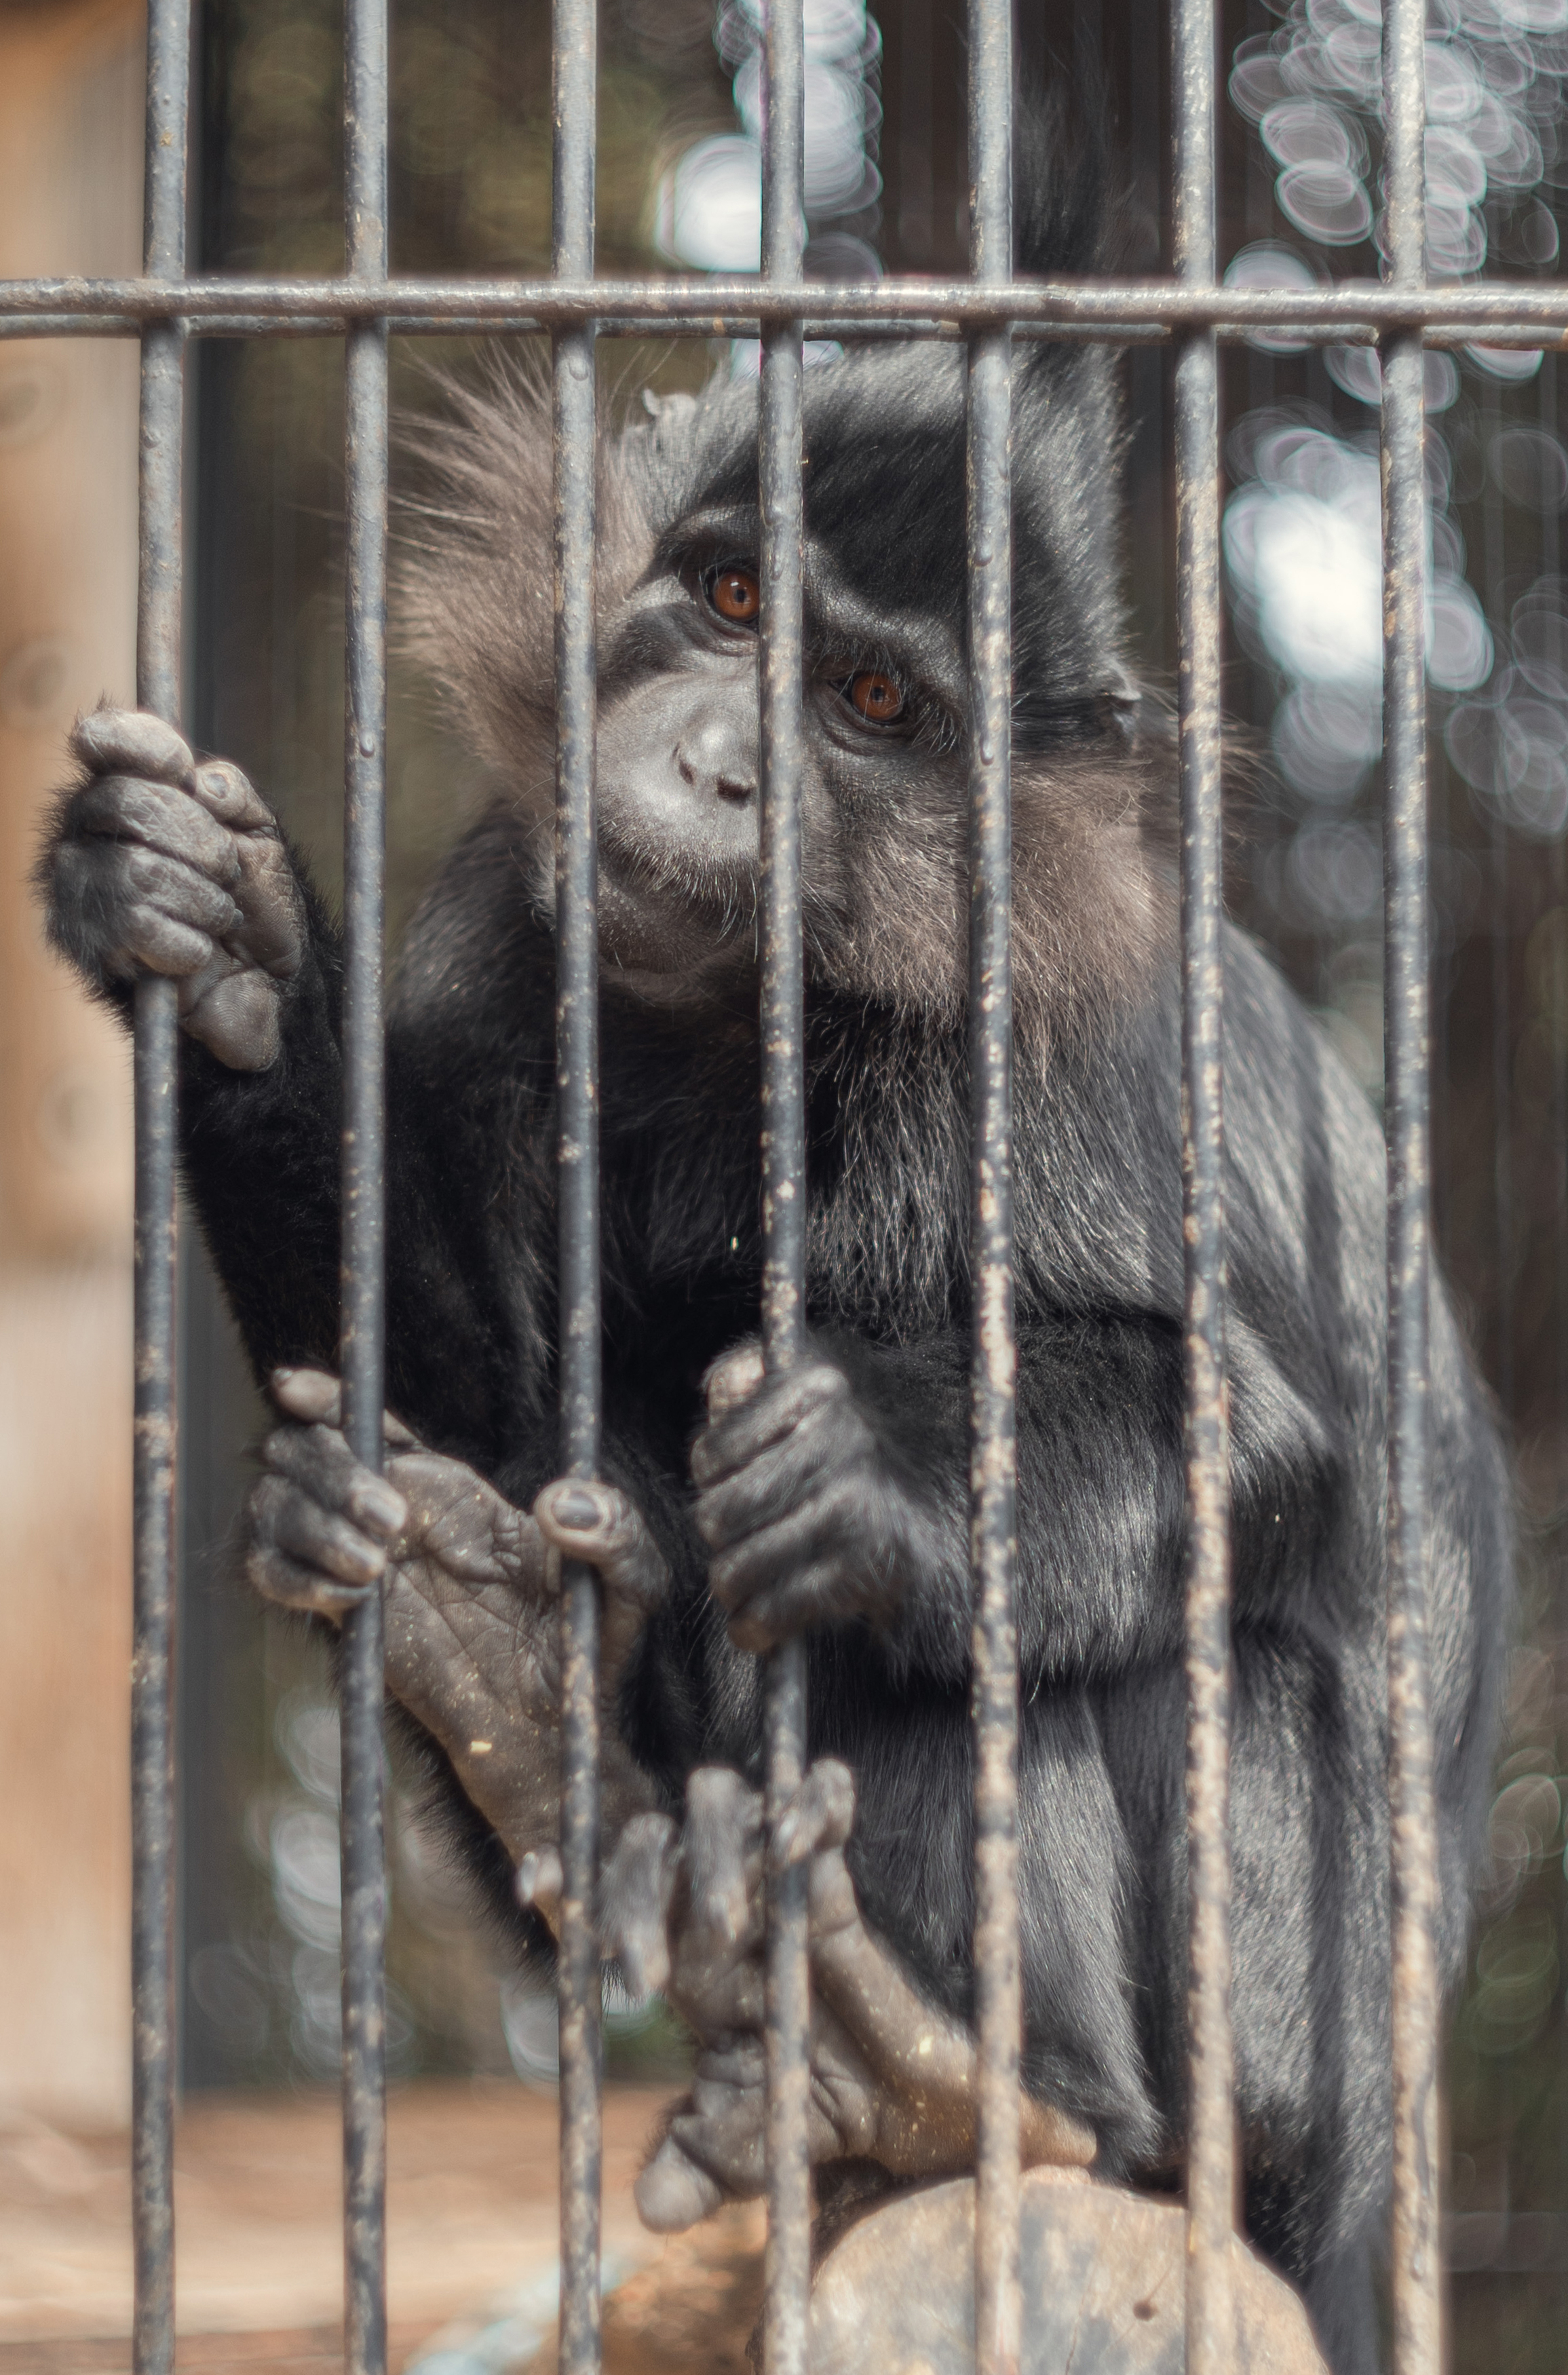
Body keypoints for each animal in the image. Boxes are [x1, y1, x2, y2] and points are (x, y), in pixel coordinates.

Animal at [39, 94, 1510, 2375]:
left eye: (875, 707)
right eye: (726, 601)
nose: (729, 762)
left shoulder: (1056, 1018)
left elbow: (1248, 1439)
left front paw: (871, 1468)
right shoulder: (503, 919)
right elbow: (487, 1411)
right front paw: (232, 947)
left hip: (1283, 2050)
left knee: (1052, 1643)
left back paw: (976, 2075)